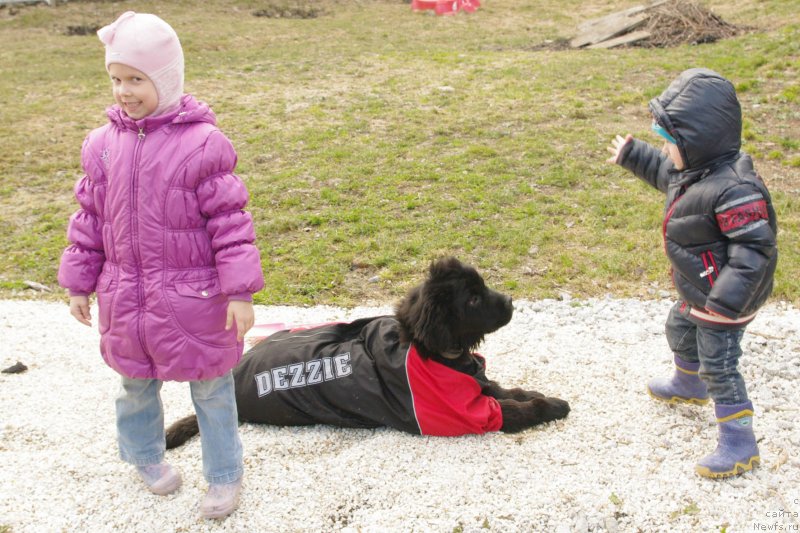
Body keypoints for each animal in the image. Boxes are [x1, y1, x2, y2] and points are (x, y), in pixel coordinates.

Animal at [167, 256, 568, 446]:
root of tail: (234, 377)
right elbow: (518, 408)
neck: (435, 353)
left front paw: (537, 392)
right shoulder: (470, 415)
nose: (511, 302)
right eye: (471, 298)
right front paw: (555, 404)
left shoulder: (479, 385)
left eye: (483, 285)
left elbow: (510, 390)